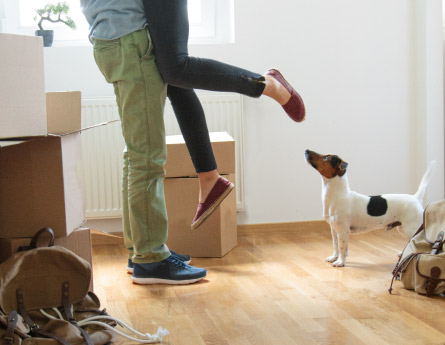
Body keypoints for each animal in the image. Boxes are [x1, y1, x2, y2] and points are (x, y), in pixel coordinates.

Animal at [304, 150, 436, 266]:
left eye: (326, 157)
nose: (306, 150)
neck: (337, 195)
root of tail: (416, 198)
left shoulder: (342, 231)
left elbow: (342, 247)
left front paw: (340, 262)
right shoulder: (334, 229)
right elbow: (336, 246)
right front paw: (334, 258)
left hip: (411, 228)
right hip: (403, 228)